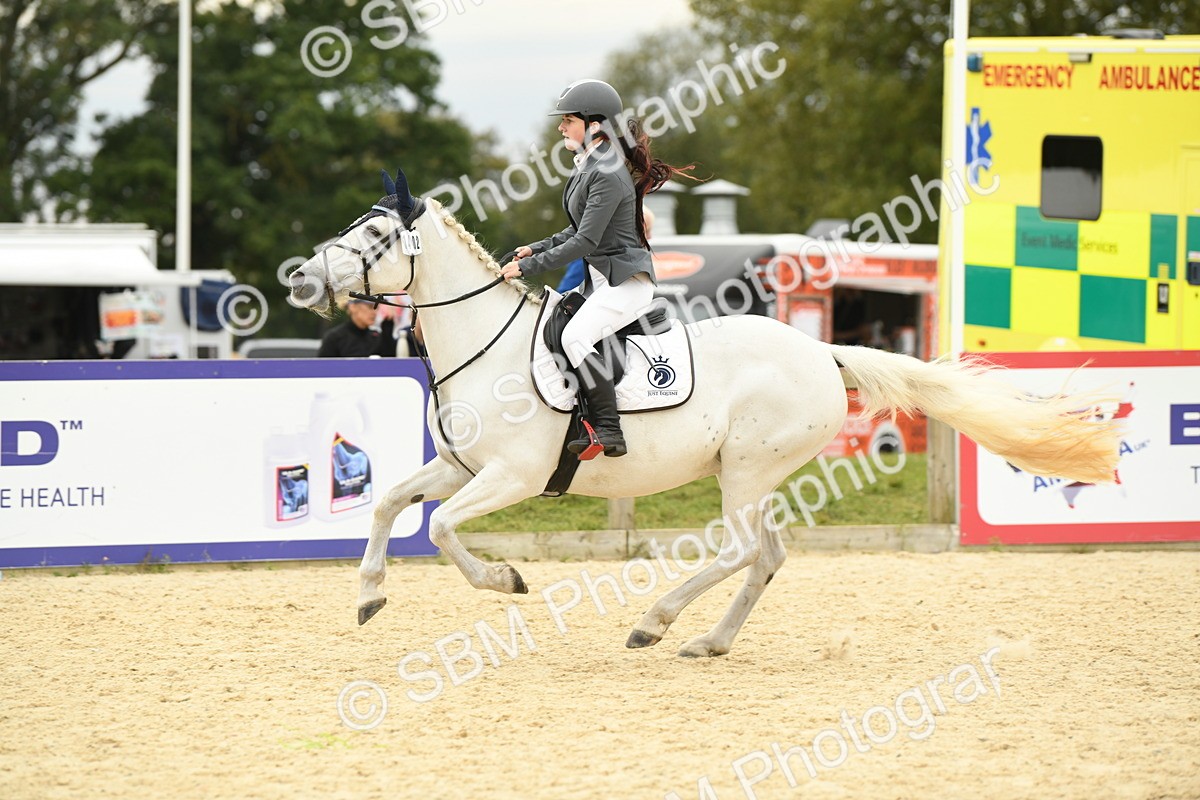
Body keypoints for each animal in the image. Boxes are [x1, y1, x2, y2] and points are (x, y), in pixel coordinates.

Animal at [289, 168, 1122, 658]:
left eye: (376, 236)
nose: (299, 278)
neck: (484, 346)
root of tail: (821, 351)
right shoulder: (459, 467)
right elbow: (391, 504)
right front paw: (368, 594)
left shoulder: (511, 476)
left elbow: (443, 531)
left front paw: (507, 580)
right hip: (754, 475)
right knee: (766, 556)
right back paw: (709, 641)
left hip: (746, 471)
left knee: (738, 551)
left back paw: (655, 622)